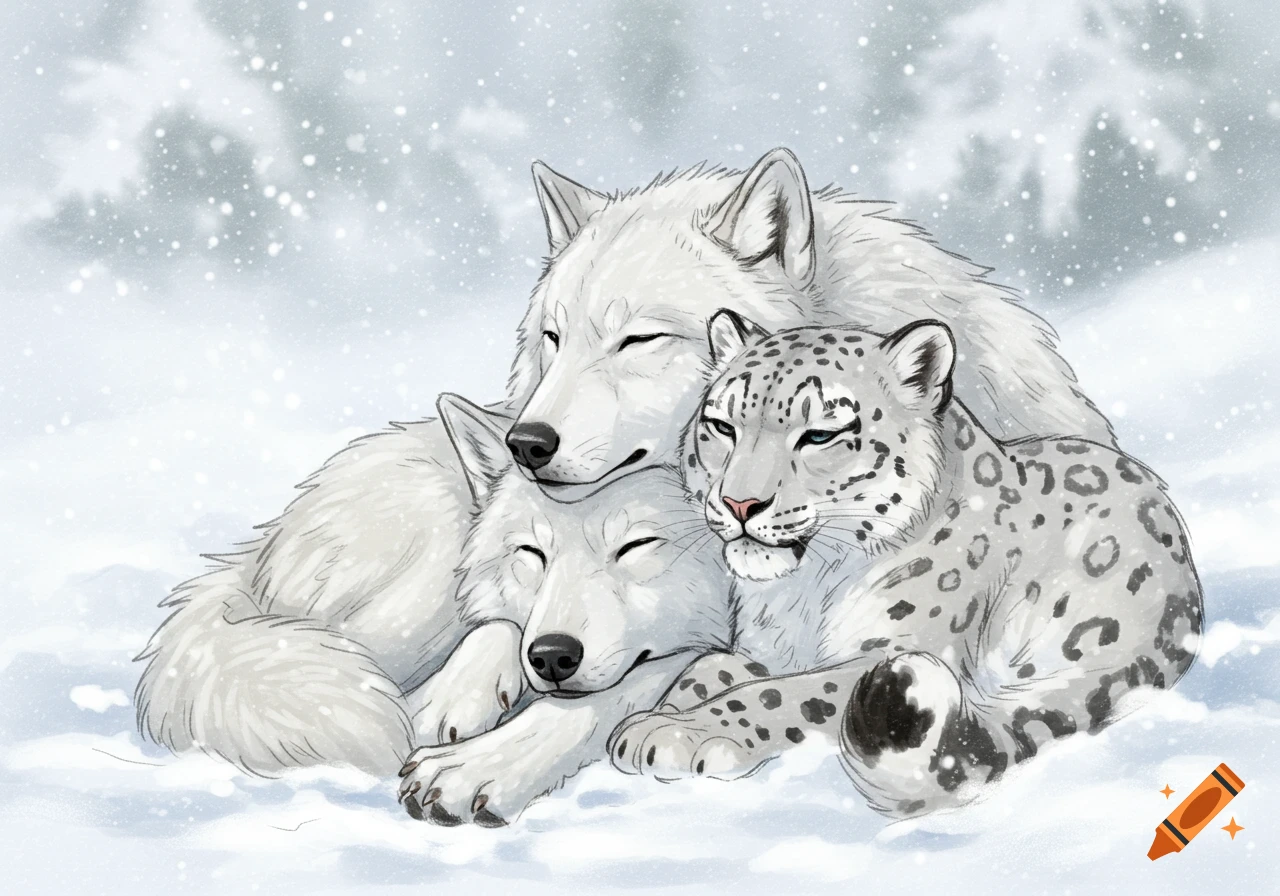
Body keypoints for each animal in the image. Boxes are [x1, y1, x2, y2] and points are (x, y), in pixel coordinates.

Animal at [137, 147, 1110, 776]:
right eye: (553, 339)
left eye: (639, 339)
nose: (525, 442)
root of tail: (252, 556)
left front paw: (489, 766)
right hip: (402, 598)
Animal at [610, 312, 1203, 818]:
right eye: (721, 425)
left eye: (820, 434)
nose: (739, 503)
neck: (803, 595)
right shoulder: (765, 649)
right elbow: (709, 669)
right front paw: (648, 722)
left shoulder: (893, 650)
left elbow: (785, 694)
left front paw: (681, 735)